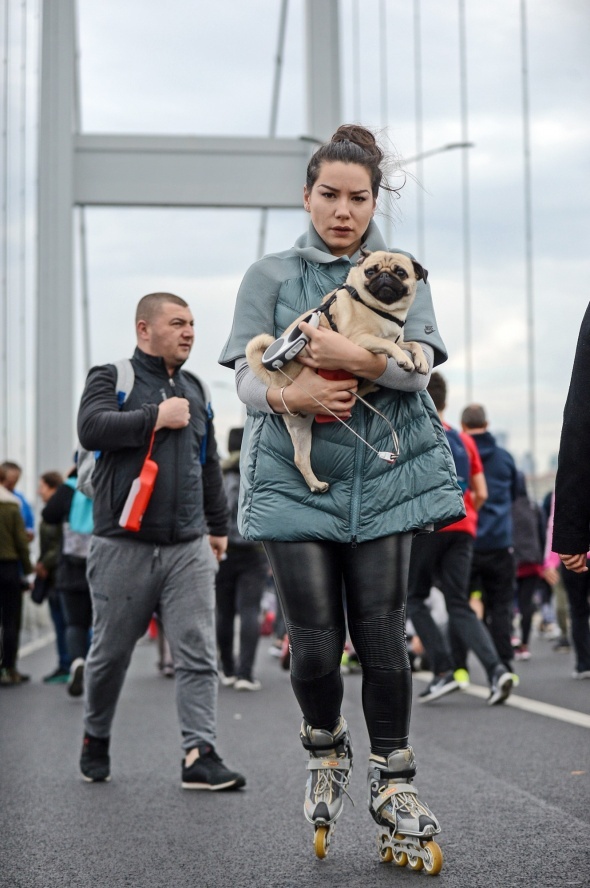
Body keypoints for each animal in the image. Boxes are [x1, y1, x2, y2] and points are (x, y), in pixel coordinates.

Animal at [246, 251, 430, 492]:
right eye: (371, 271)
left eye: (400, 272)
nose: (384, 276)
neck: (381, 310)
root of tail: (274, 375)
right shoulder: (358, 340)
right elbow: (388, 345)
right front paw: (403, 360)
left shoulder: (398, 339)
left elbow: (412, 344)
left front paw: (421, 362)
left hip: (300, 427)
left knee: (300, 457)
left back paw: (315, 484)